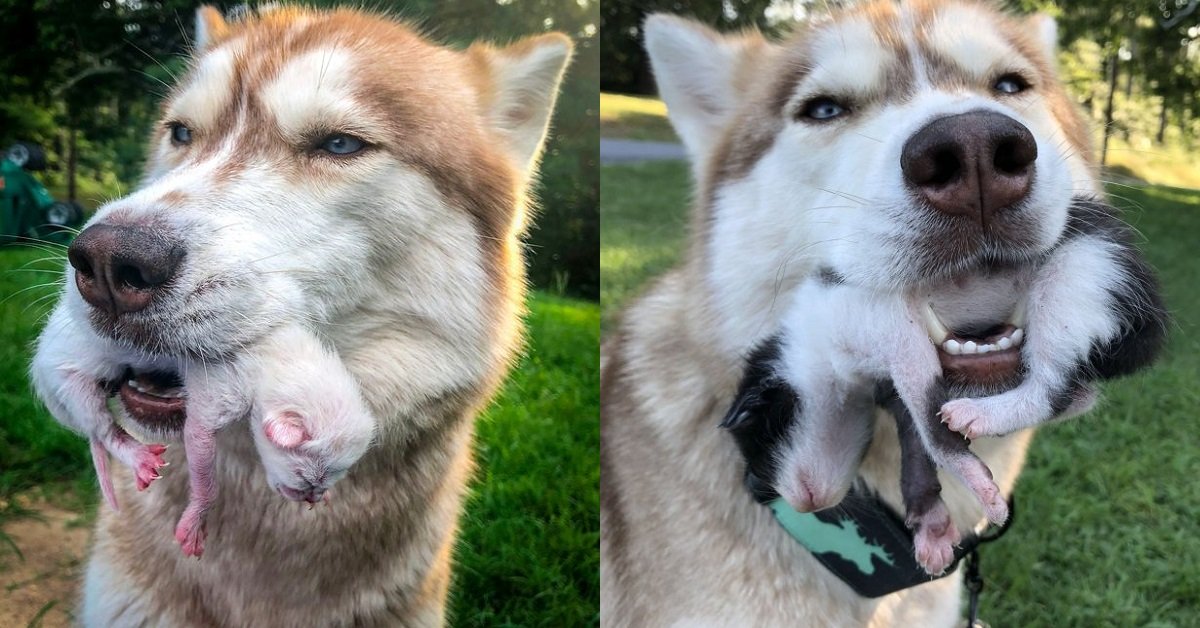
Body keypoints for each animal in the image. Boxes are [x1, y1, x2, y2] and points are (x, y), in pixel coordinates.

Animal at [174, 321, 374, 557]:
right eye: (305, 479)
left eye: (323, 485)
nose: (311, 497)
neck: (280, 360)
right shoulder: (230, 389)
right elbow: (207, 478)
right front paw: (196, 519)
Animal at [720, 199, 1161, 578]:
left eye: (759, 437)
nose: (760, 492)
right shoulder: (893, 389)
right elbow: (917, 448)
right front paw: (932, 532)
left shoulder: (884, 323)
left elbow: (932, 423)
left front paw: (982, 488)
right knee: (1079, 393)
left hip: (1077, 276)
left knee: (1053, 386)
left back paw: (979, 414)